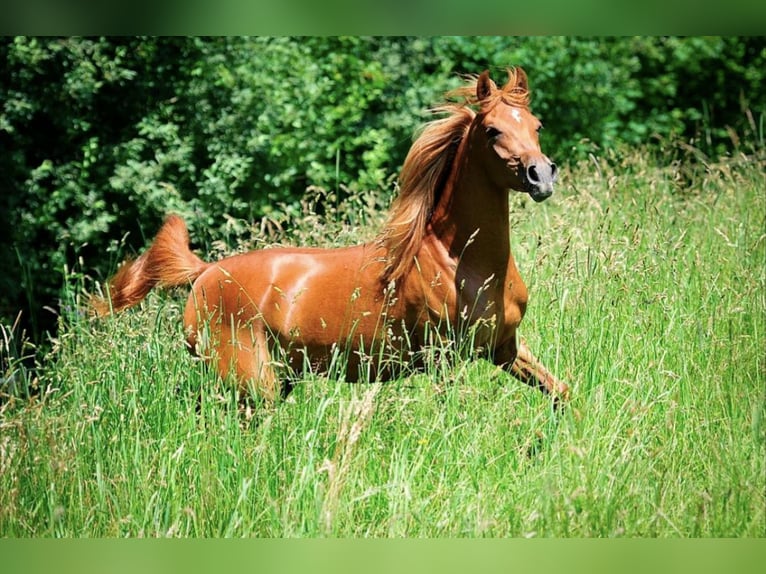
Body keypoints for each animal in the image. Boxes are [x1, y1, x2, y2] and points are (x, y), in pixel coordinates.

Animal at [94, 67, 568, 408]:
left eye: (537, 125)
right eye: (492, 130)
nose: (541, 175)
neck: (460, 260)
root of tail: (205, 272)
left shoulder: (505, 348)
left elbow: (562, 394)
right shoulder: (443, 359)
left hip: (272, 380)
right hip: (252, 384)